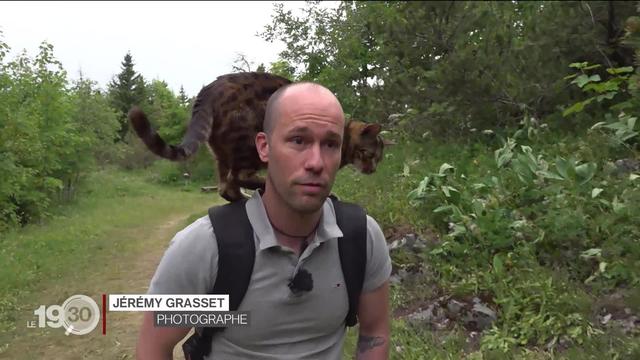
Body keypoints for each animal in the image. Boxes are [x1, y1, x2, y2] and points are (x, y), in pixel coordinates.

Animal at [127, 71, 382, 201]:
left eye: (378, 159)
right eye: (368, 153)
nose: (372, 170)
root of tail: (209, 90)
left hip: (221, 154)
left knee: (226, 187)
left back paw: (245, 197)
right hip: (249, 144)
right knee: (239, 178)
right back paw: (260, 188)